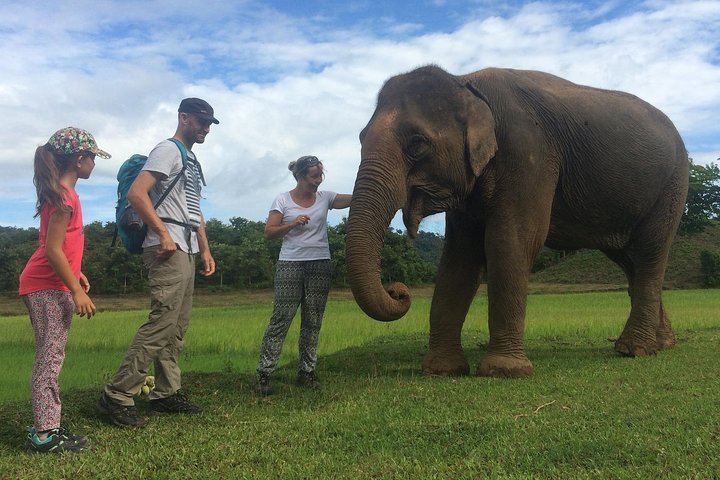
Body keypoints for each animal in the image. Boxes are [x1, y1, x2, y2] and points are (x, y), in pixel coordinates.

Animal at [346, 64, 688, 378]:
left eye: (417, 144)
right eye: (360, 138)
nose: (398, 291)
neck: (465, 82)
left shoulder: (527, 152)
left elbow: (511, 240)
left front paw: (503, 371)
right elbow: (459, 257)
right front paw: (442, 370)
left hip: (672, 186)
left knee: (650, 253)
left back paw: (635, 350)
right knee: (630, 261)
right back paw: (661, 344)